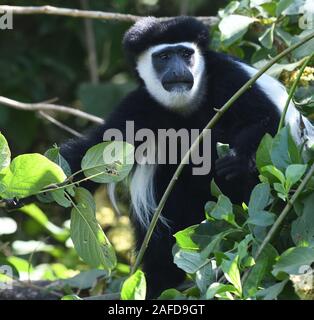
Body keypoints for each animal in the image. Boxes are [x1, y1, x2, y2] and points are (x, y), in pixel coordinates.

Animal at [60, 16, 312, 298]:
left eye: (185, 53)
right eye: (164, 56)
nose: (178, 70)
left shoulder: (231, 79)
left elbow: (268, 121)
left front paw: (237, 159)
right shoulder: (138, 106)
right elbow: (93, 151)